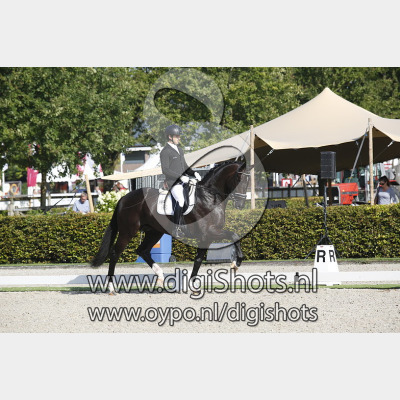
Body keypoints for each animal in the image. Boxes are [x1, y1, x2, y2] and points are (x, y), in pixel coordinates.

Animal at [90, 160, 251, 293]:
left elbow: (198, 260)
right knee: (115, 253)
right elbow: (234, 235)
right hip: (127, 231)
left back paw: (160, 277)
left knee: (143, 251)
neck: (210, 197)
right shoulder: (209, 232)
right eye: (239, 179)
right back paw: (112, 288)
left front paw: (192, 286)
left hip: (154, 232)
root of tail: (124, 198)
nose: (241, 204)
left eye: (248, 181)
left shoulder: (206, 237)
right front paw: (236, 263)